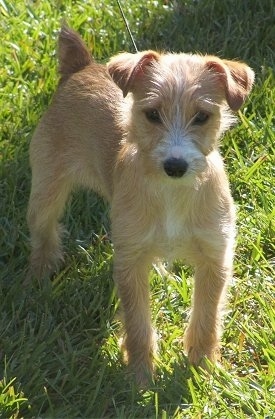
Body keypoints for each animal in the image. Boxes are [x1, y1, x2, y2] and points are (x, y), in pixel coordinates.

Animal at [27, 27, 256, 388]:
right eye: (152, 114)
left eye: (201, 116)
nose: (175, 165)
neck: (172, 194)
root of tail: (81, 66)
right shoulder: (132, 261)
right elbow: (137, 325)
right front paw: (140, 379)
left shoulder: (214, 257)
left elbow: (206, 317)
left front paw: (201, 369)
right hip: (46, 190)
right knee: (44, 234)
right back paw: (38, 280)